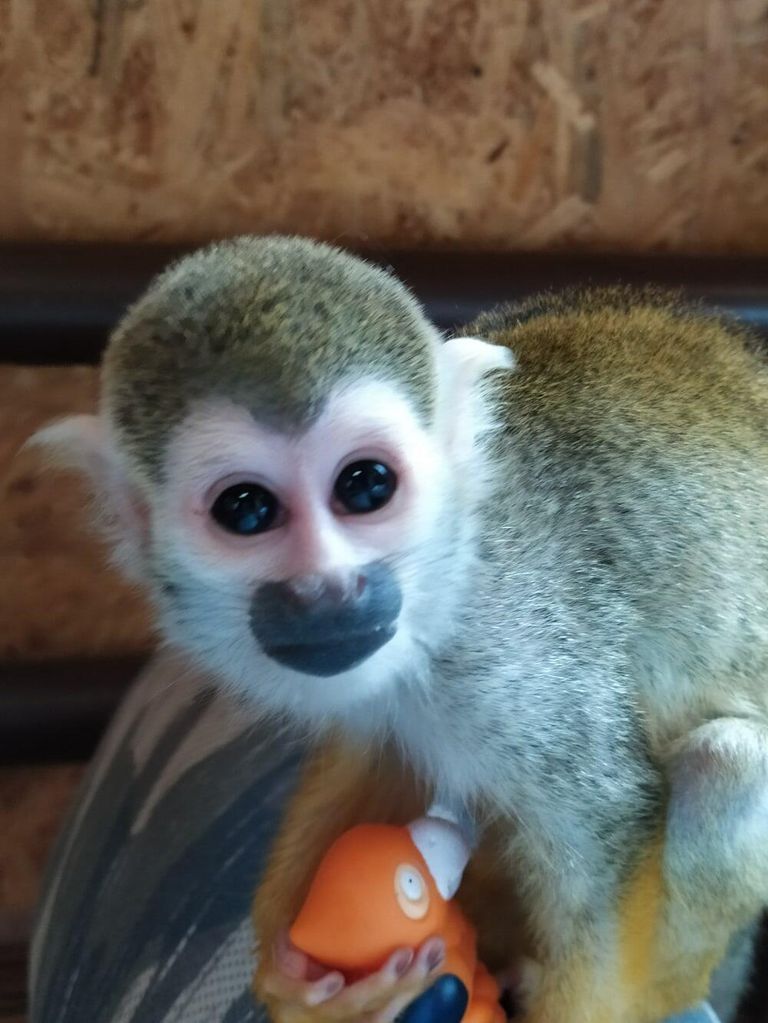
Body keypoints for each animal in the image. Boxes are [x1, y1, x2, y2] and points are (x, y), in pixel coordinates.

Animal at [31, 235, 768, 1023]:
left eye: (365, 486)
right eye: (246, 509)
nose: (328, 589)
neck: (450, 576)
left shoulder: (525, 655)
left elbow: (605, 830)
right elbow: (375, 752)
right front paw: (295, 975)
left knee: (725, 764)